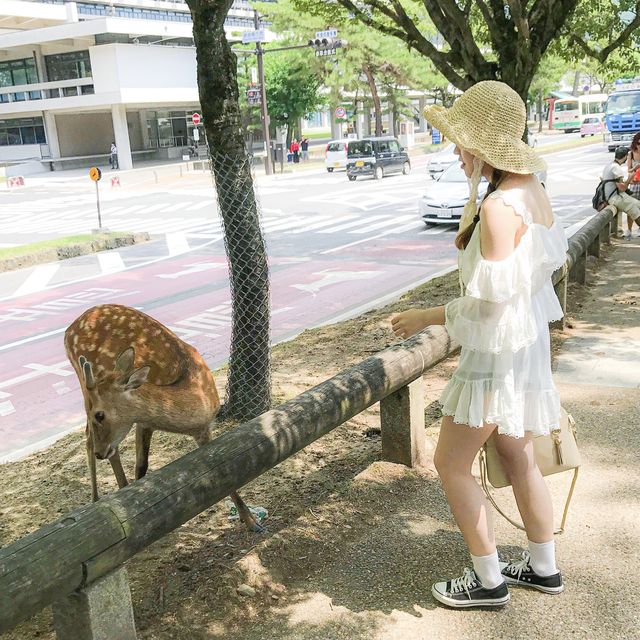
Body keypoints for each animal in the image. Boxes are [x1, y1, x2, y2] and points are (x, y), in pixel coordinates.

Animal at [64, 302, 262, 532]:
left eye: (101, 414)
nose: (100, 452)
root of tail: (67, 332)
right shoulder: (143, 422)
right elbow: (141, 466)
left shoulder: (203, 428)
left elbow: (221, 467)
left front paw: (251, 521)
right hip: (85, 381)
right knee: (91, 439)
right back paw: (101, 495)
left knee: (93, 438)